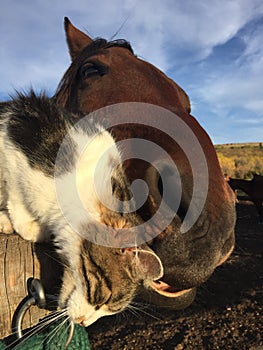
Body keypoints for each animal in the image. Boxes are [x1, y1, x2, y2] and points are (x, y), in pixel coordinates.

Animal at [0, 91, 163, 326]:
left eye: (110, 310)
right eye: (102, 297)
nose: (84, 323)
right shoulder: (14, 137)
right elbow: (16, 190)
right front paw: (29, 225)